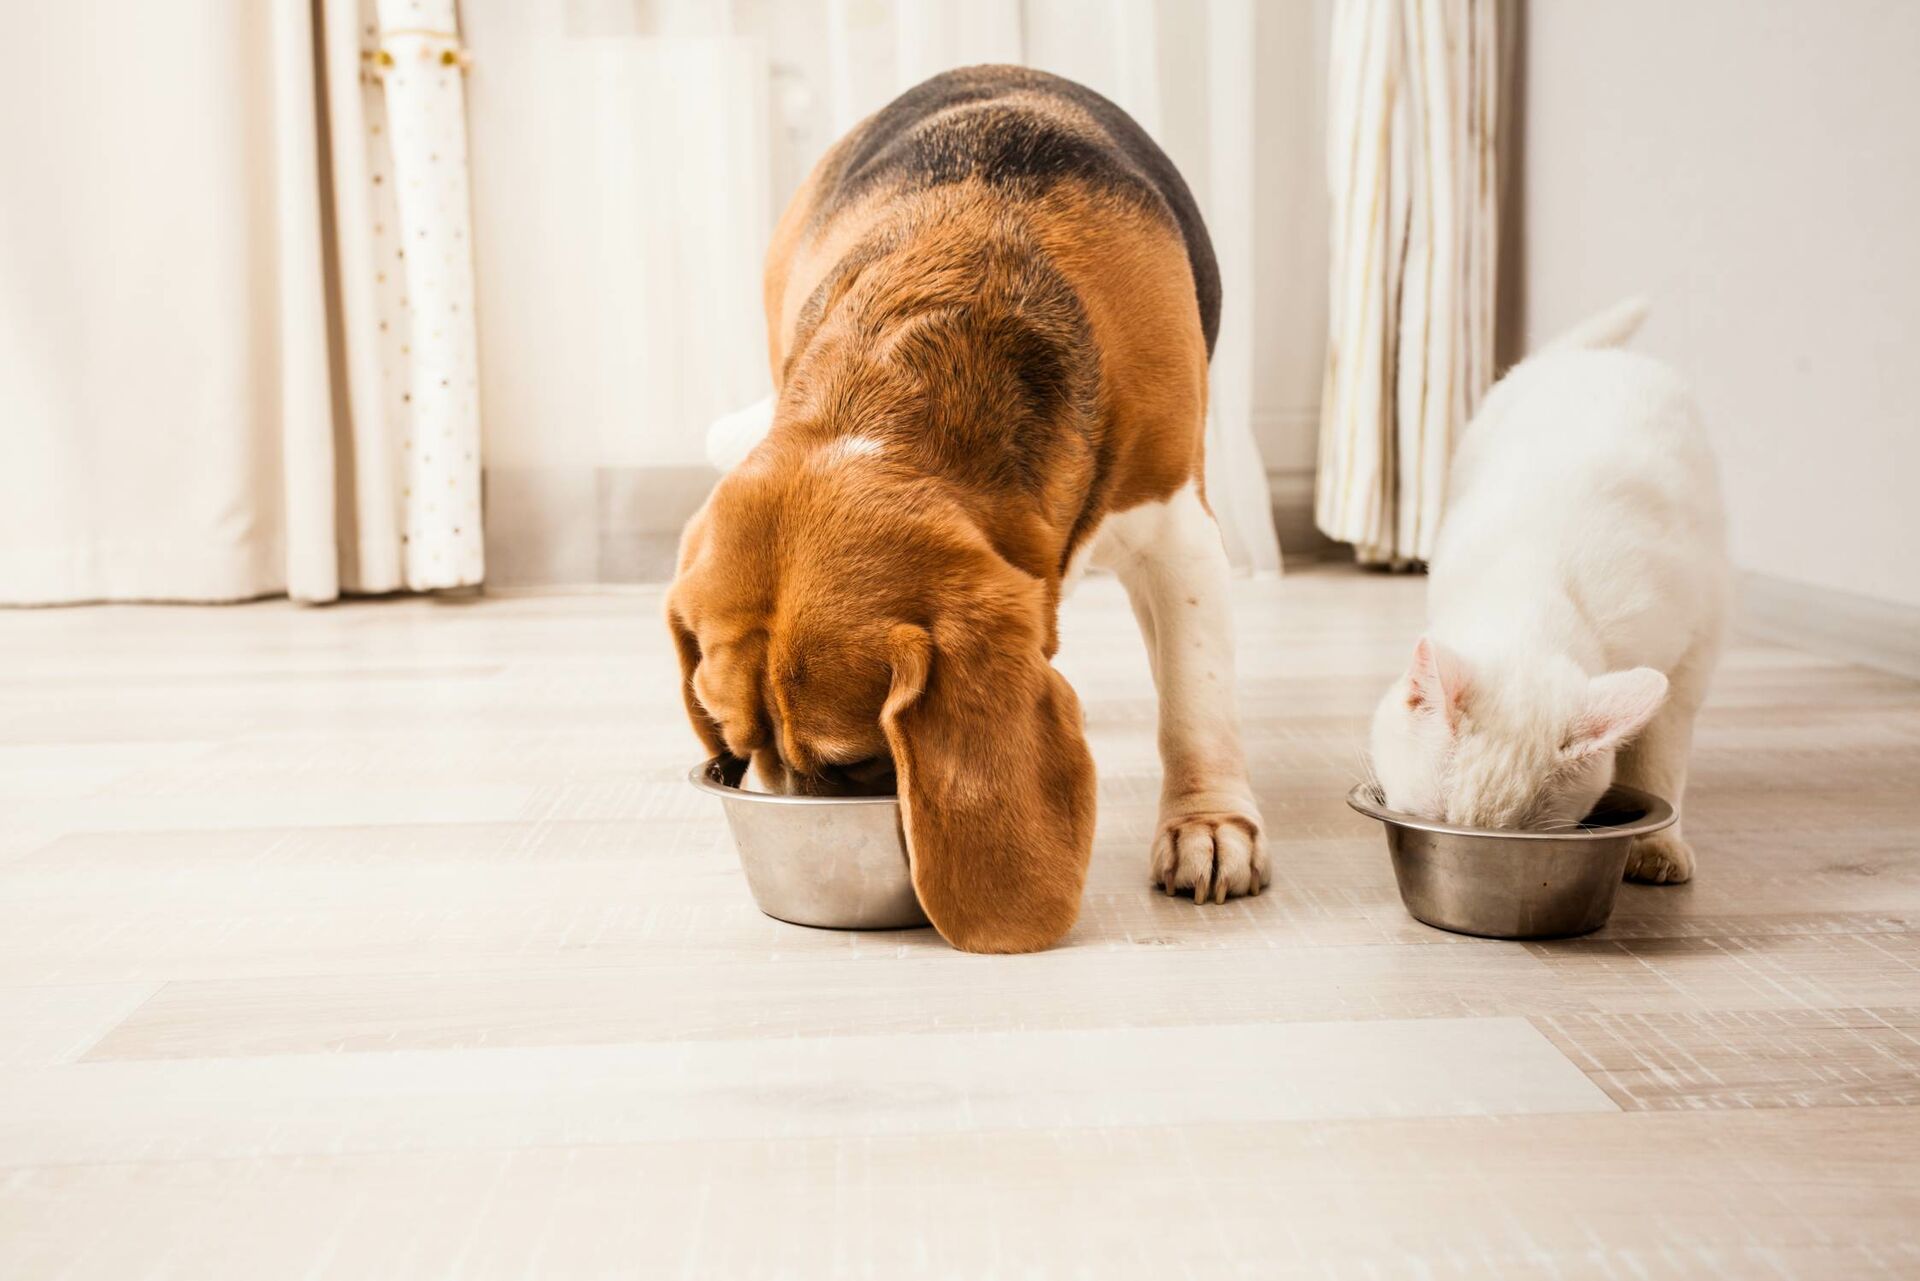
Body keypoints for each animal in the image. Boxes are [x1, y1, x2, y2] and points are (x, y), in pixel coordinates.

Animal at [1374, 299, 1735, 883]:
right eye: (1435, 820)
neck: (1530, 591)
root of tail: (1589, 356)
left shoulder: (1689, 658)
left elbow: (1658, 762)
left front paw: (1658, 847)